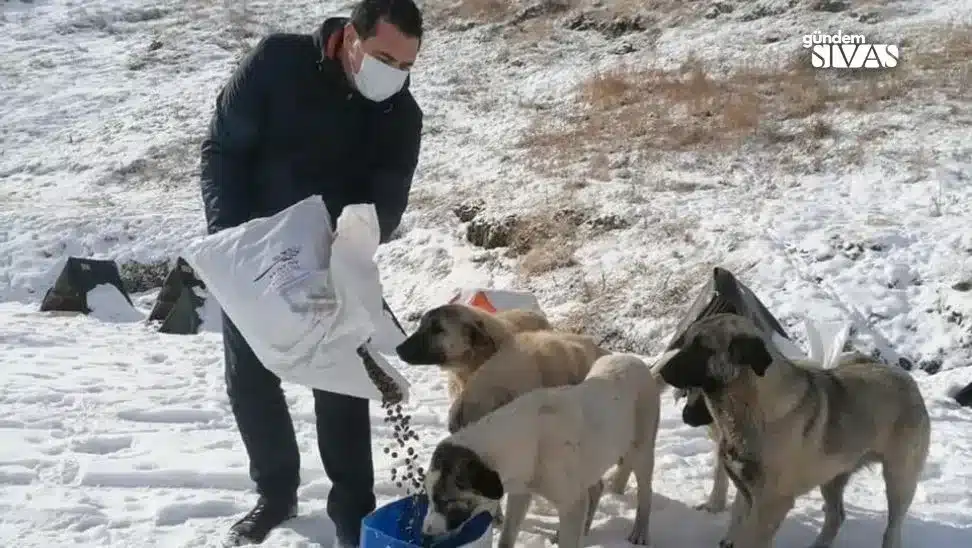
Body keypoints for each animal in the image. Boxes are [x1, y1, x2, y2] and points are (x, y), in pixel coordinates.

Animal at [652, 312, 928, 548]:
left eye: (701, 347)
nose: (662, 371)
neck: (749, 408)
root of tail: (906, 379)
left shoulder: (771, 503)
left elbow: (750, 539)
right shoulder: (747, 494)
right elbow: (738, 527)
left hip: (898, 480)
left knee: (892, 529)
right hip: (832, 478)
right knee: (836, 516)